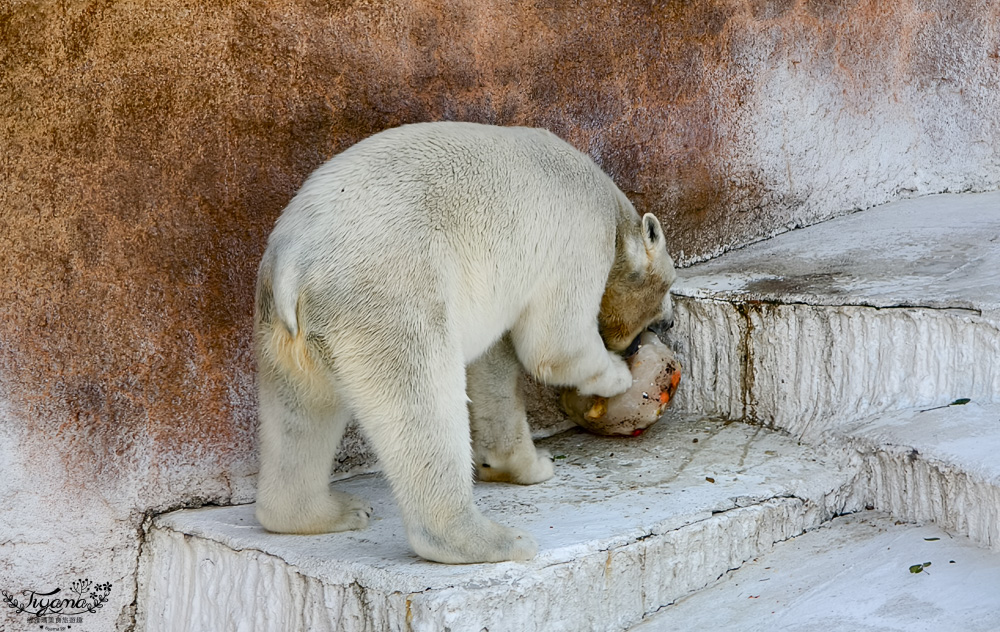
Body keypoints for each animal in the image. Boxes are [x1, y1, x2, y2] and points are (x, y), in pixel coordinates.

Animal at [256, 122, 680, 564]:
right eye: (670, 284)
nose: (668, 322)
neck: (613, 212)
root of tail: (294, 265)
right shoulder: (578, 238)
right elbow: (554, 344)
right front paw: (617, 377)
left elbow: (493, 368)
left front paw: (526, 464)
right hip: (388, 299)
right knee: (425, 402)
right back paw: (492, 539)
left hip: (288, 333)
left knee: (301, 413)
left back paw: (323, 512)